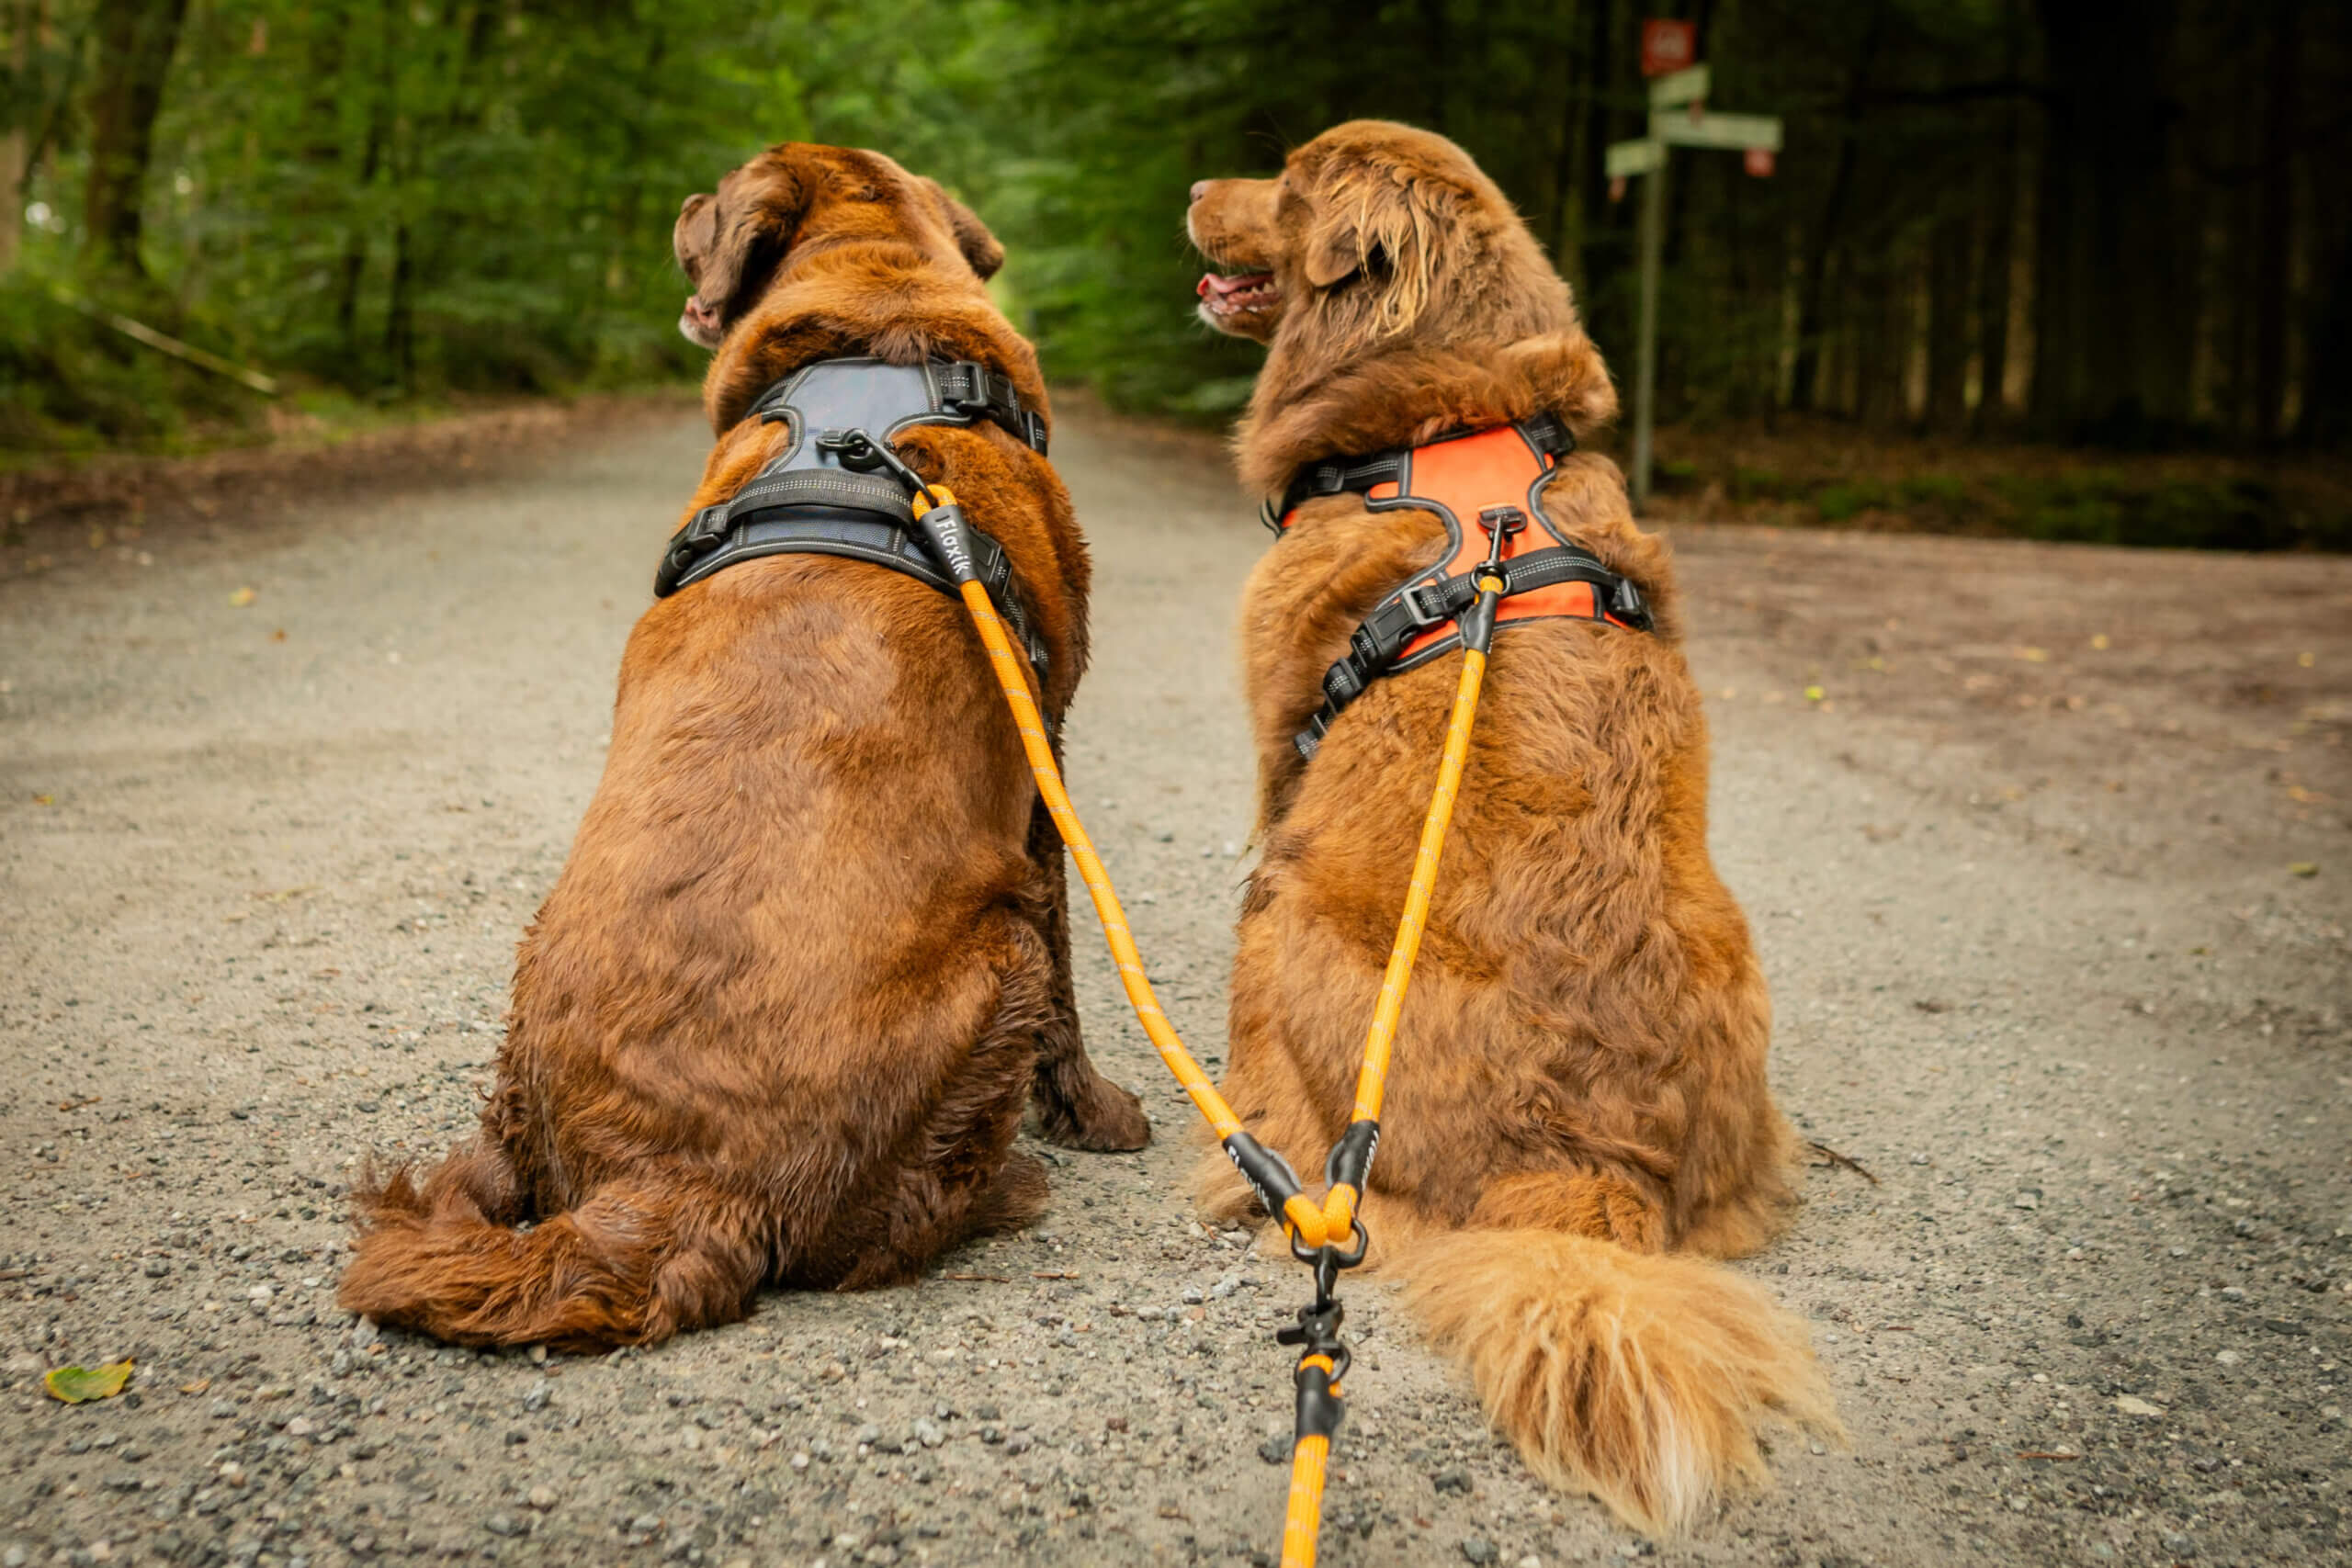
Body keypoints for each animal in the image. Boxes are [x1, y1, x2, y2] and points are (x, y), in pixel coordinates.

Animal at [338, 141, 1148, 1354]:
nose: (682, 202)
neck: (879, 324)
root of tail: (674, 1183)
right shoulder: (1043, 762)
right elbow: (1070, 985)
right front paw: (1095, 1115)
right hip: (995, 954)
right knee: (897, 1226)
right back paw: (1008, 1188)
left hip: (524, 1002)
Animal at [1194, 125, 1834, 1532]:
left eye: (1287, 178)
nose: (1195, 192)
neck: (1445, 414)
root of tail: (1582, 1172)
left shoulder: (1273, 747)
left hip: (1279, 906)